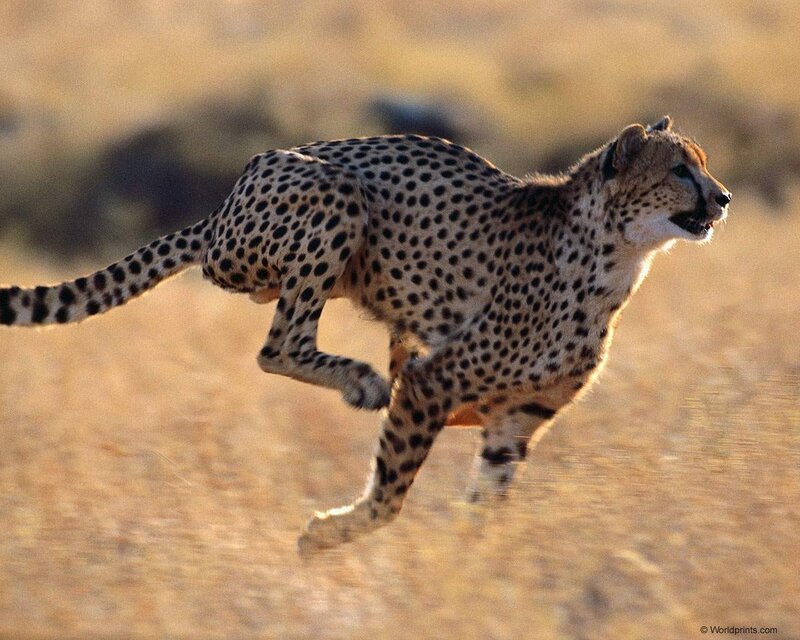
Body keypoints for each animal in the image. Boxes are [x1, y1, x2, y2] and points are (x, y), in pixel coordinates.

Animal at [0, 116, 731, 553]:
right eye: (679, 169)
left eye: (701, 164)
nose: (722, 198)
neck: (616, 255)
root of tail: (224, 202)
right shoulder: (435, 382)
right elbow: (391, 494)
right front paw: (325, 535)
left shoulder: (516, 419)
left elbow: (485, 504)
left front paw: (471, 565)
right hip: (332, 197)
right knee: (278, 344)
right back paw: (359, 381)